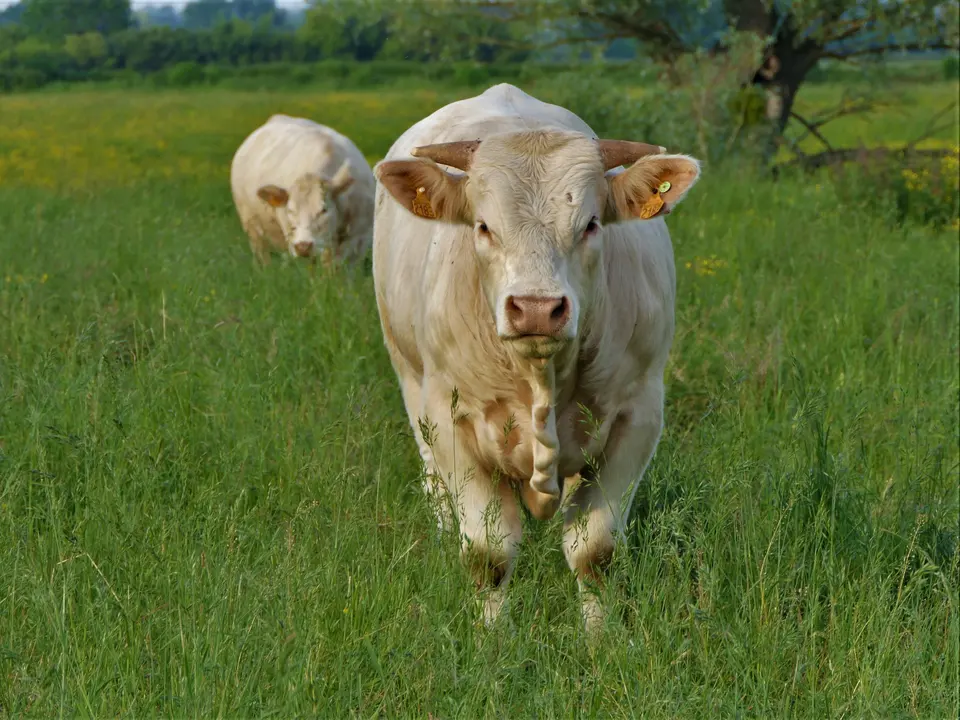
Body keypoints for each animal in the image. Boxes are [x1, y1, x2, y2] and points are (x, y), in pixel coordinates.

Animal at [372, 83, 701, 635]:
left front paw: (599, 641)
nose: (536, 309)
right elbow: (488, 554)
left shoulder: (638, 416)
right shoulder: (451, 420)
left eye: (591, 224)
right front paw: (491, 641)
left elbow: (595, 551)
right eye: (483, 226)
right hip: (411, 383)